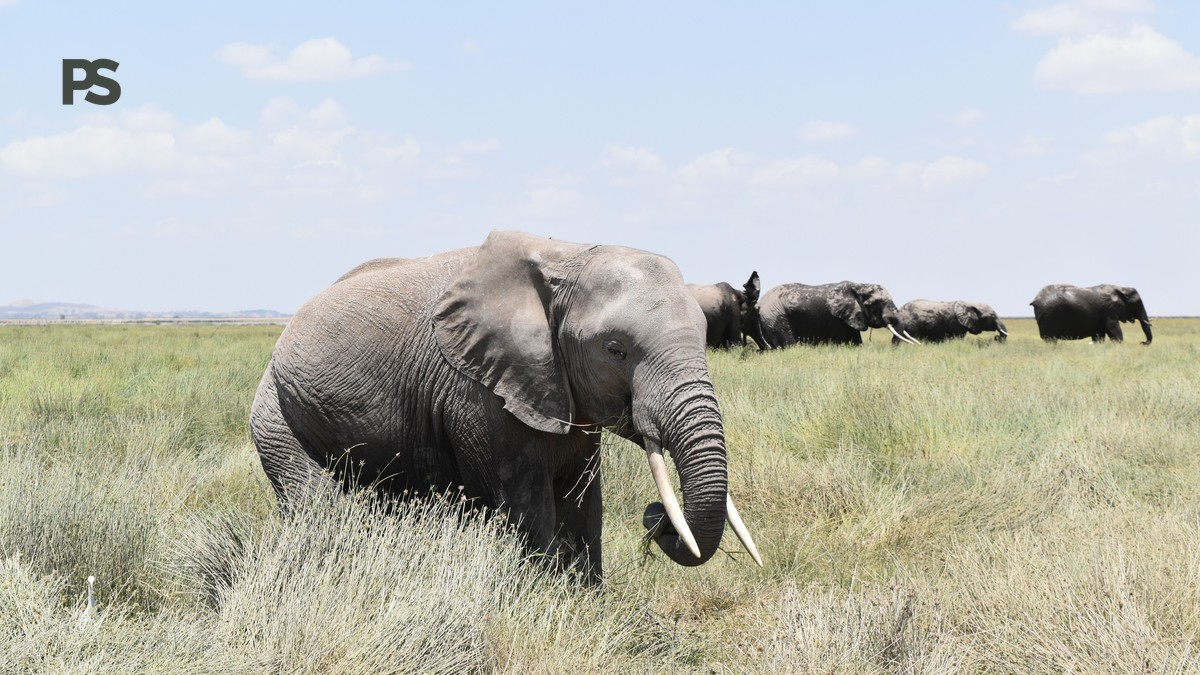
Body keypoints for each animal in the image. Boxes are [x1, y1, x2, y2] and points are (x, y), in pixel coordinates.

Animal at [249, 230, 761, 583]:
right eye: (616, 350)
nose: (656, 516)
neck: (568, 254)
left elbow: (583, 509)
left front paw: (589, 603)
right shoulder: (478, 392)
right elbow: (531, 510)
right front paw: (549, 601)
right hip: (276, 413)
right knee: (322, 508)